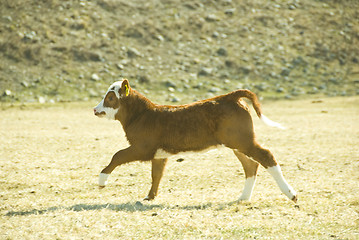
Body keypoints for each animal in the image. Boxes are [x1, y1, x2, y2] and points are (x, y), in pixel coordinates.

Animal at [93, 79, 298, 202]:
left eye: (110, 97)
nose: (95, 110)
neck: (142, 114)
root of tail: (230, 97)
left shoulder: (142, 148)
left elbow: (117, 155)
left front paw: (102, 181)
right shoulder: (159, 154)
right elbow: (156, 174)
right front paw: (150, 197)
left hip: (243, 141)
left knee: (266, 156)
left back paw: (291, 194)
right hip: (238, 144)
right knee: (251, 165)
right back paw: (244, 197)